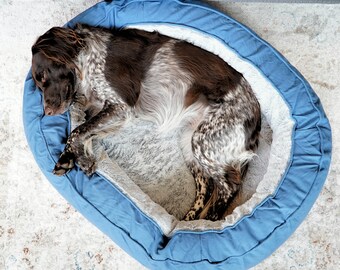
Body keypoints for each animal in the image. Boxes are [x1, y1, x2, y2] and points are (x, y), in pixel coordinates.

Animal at [31, 23, 260, 221]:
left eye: (42, 76)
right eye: (38, 83)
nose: (47, 112)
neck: (86, 60)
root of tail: (256, 118)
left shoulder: (121, 107)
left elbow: (77, 131)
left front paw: (76, 159)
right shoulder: (108, 111)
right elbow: (84, 131)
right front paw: (75, 158)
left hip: (204, 140)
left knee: (228, 186)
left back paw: (208, 222)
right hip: (189, 142)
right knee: (206, 187)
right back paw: (189, 220)